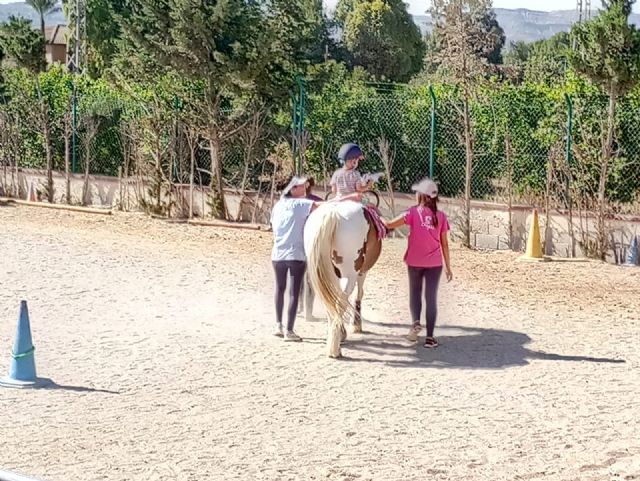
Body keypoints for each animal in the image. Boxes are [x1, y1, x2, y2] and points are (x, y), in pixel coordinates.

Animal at [304, 199, 380, 356]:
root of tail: (333, 213)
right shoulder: (362, 271)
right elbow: (359, 294)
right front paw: (356, 324)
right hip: (350, 274)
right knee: (341, 301)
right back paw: (335, 348)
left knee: (331, 302)